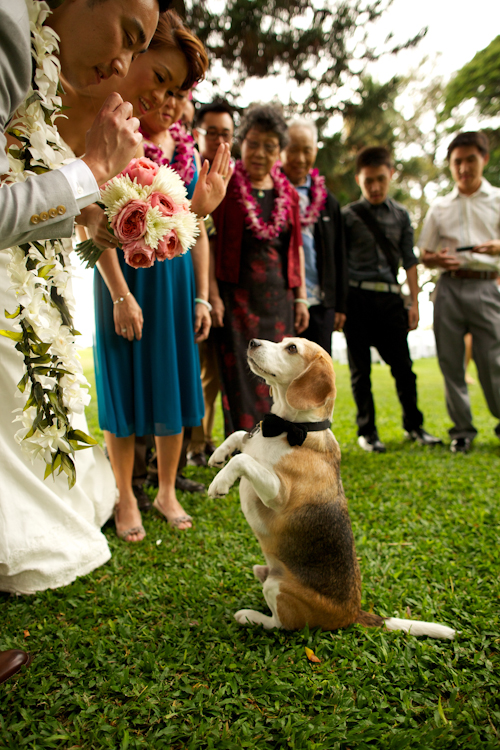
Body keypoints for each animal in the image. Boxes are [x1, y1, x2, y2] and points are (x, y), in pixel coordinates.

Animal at [207, 340, 458, 640]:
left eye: (291, 348)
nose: (253, 342)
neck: (289, 427)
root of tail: (351, 613)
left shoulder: (278, 495)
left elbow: (243, 460)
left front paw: (220, 482)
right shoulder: (253, 439)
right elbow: (240, 437)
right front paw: (217, 456)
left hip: (278, 588)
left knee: (281, 624)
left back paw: (249, 616)